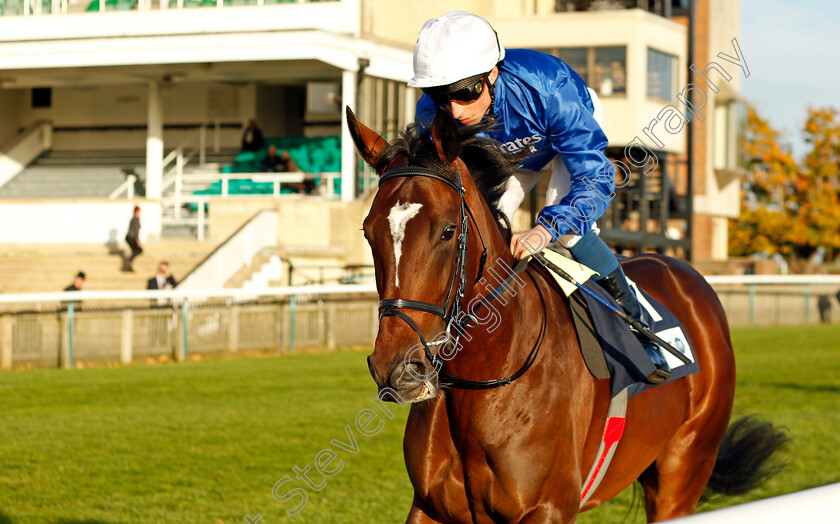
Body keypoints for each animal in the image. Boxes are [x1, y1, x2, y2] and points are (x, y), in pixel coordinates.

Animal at [348, 107, 788, 524]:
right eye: (368, 231)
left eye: (447, 230)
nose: (396, 368)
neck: (487, 376)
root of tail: (685, 272)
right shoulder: (430, 506)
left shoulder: (549, 508)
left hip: (683, 471)